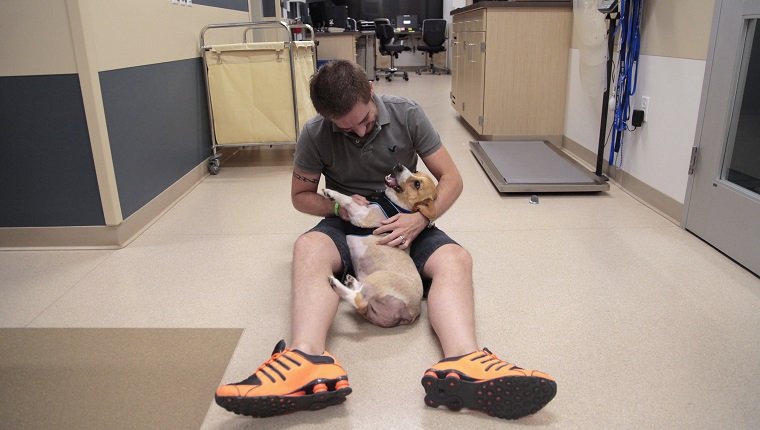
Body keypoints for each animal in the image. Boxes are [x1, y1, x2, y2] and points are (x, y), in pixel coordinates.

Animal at [322, 163, 440, 328]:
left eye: (417, 184)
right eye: (415, 171)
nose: (399, 165)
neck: (397, 205)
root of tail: (411, 314)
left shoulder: (361, 214)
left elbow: (348, 199)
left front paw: (331, 193)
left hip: (377, 279)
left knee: (359, 301)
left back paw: (336, 284)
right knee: (361, 302)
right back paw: (352, 282)